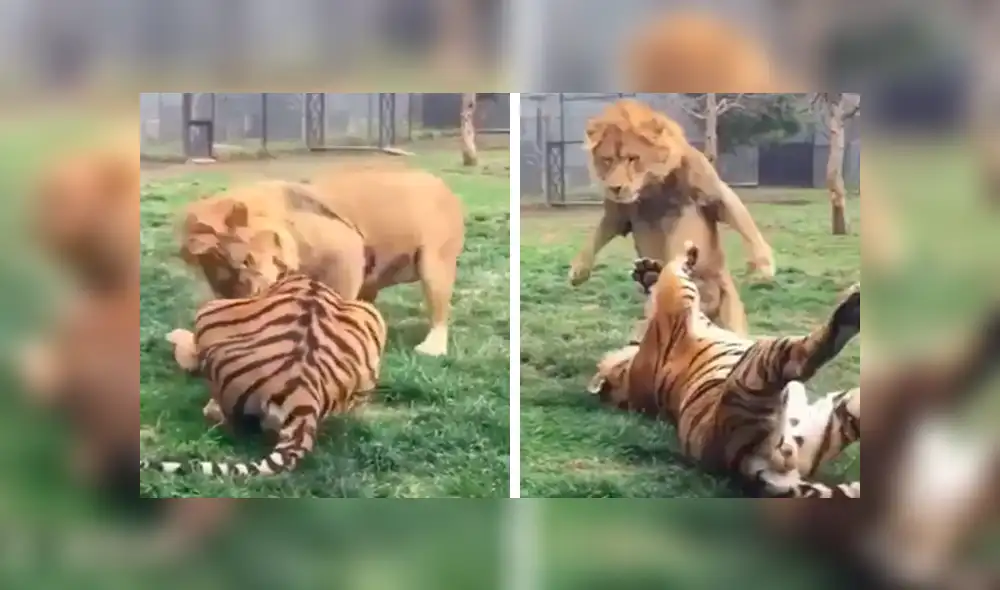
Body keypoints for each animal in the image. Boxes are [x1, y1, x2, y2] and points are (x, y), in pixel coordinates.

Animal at [180, 167, 466, 357]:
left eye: (244, 263)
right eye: (221, 283)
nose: (244, 297)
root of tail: (442, 185)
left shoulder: (346, 250)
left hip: (435, 261)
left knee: (439, 307)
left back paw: (431, 349)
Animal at [572, 98, 775, 336]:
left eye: (633, 159)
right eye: (607, 160)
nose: (614, 187)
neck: (652, 189)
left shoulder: (718, 196)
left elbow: (747, 227)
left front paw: (763, 267)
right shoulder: (617, 216)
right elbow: (594, 239)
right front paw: (579, 271)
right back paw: (651, 278)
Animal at [587, 241, 861, 498]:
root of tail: (746, 467)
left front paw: (648, 271)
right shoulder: (678, 296)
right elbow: (675, 268)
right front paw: (686, 253)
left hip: (829, 420)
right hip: (760, 362)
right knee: (804, 356)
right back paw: (853, 306)